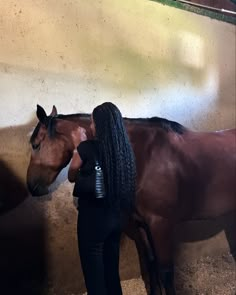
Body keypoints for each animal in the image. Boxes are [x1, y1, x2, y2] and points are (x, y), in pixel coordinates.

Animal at [26, 106, 235, 295]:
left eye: (36, 144)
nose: (31, 186)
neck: (144, 156)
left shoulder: (161, 225)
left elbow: (166, 272)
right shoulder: (142, 224)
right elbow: (150, 264)